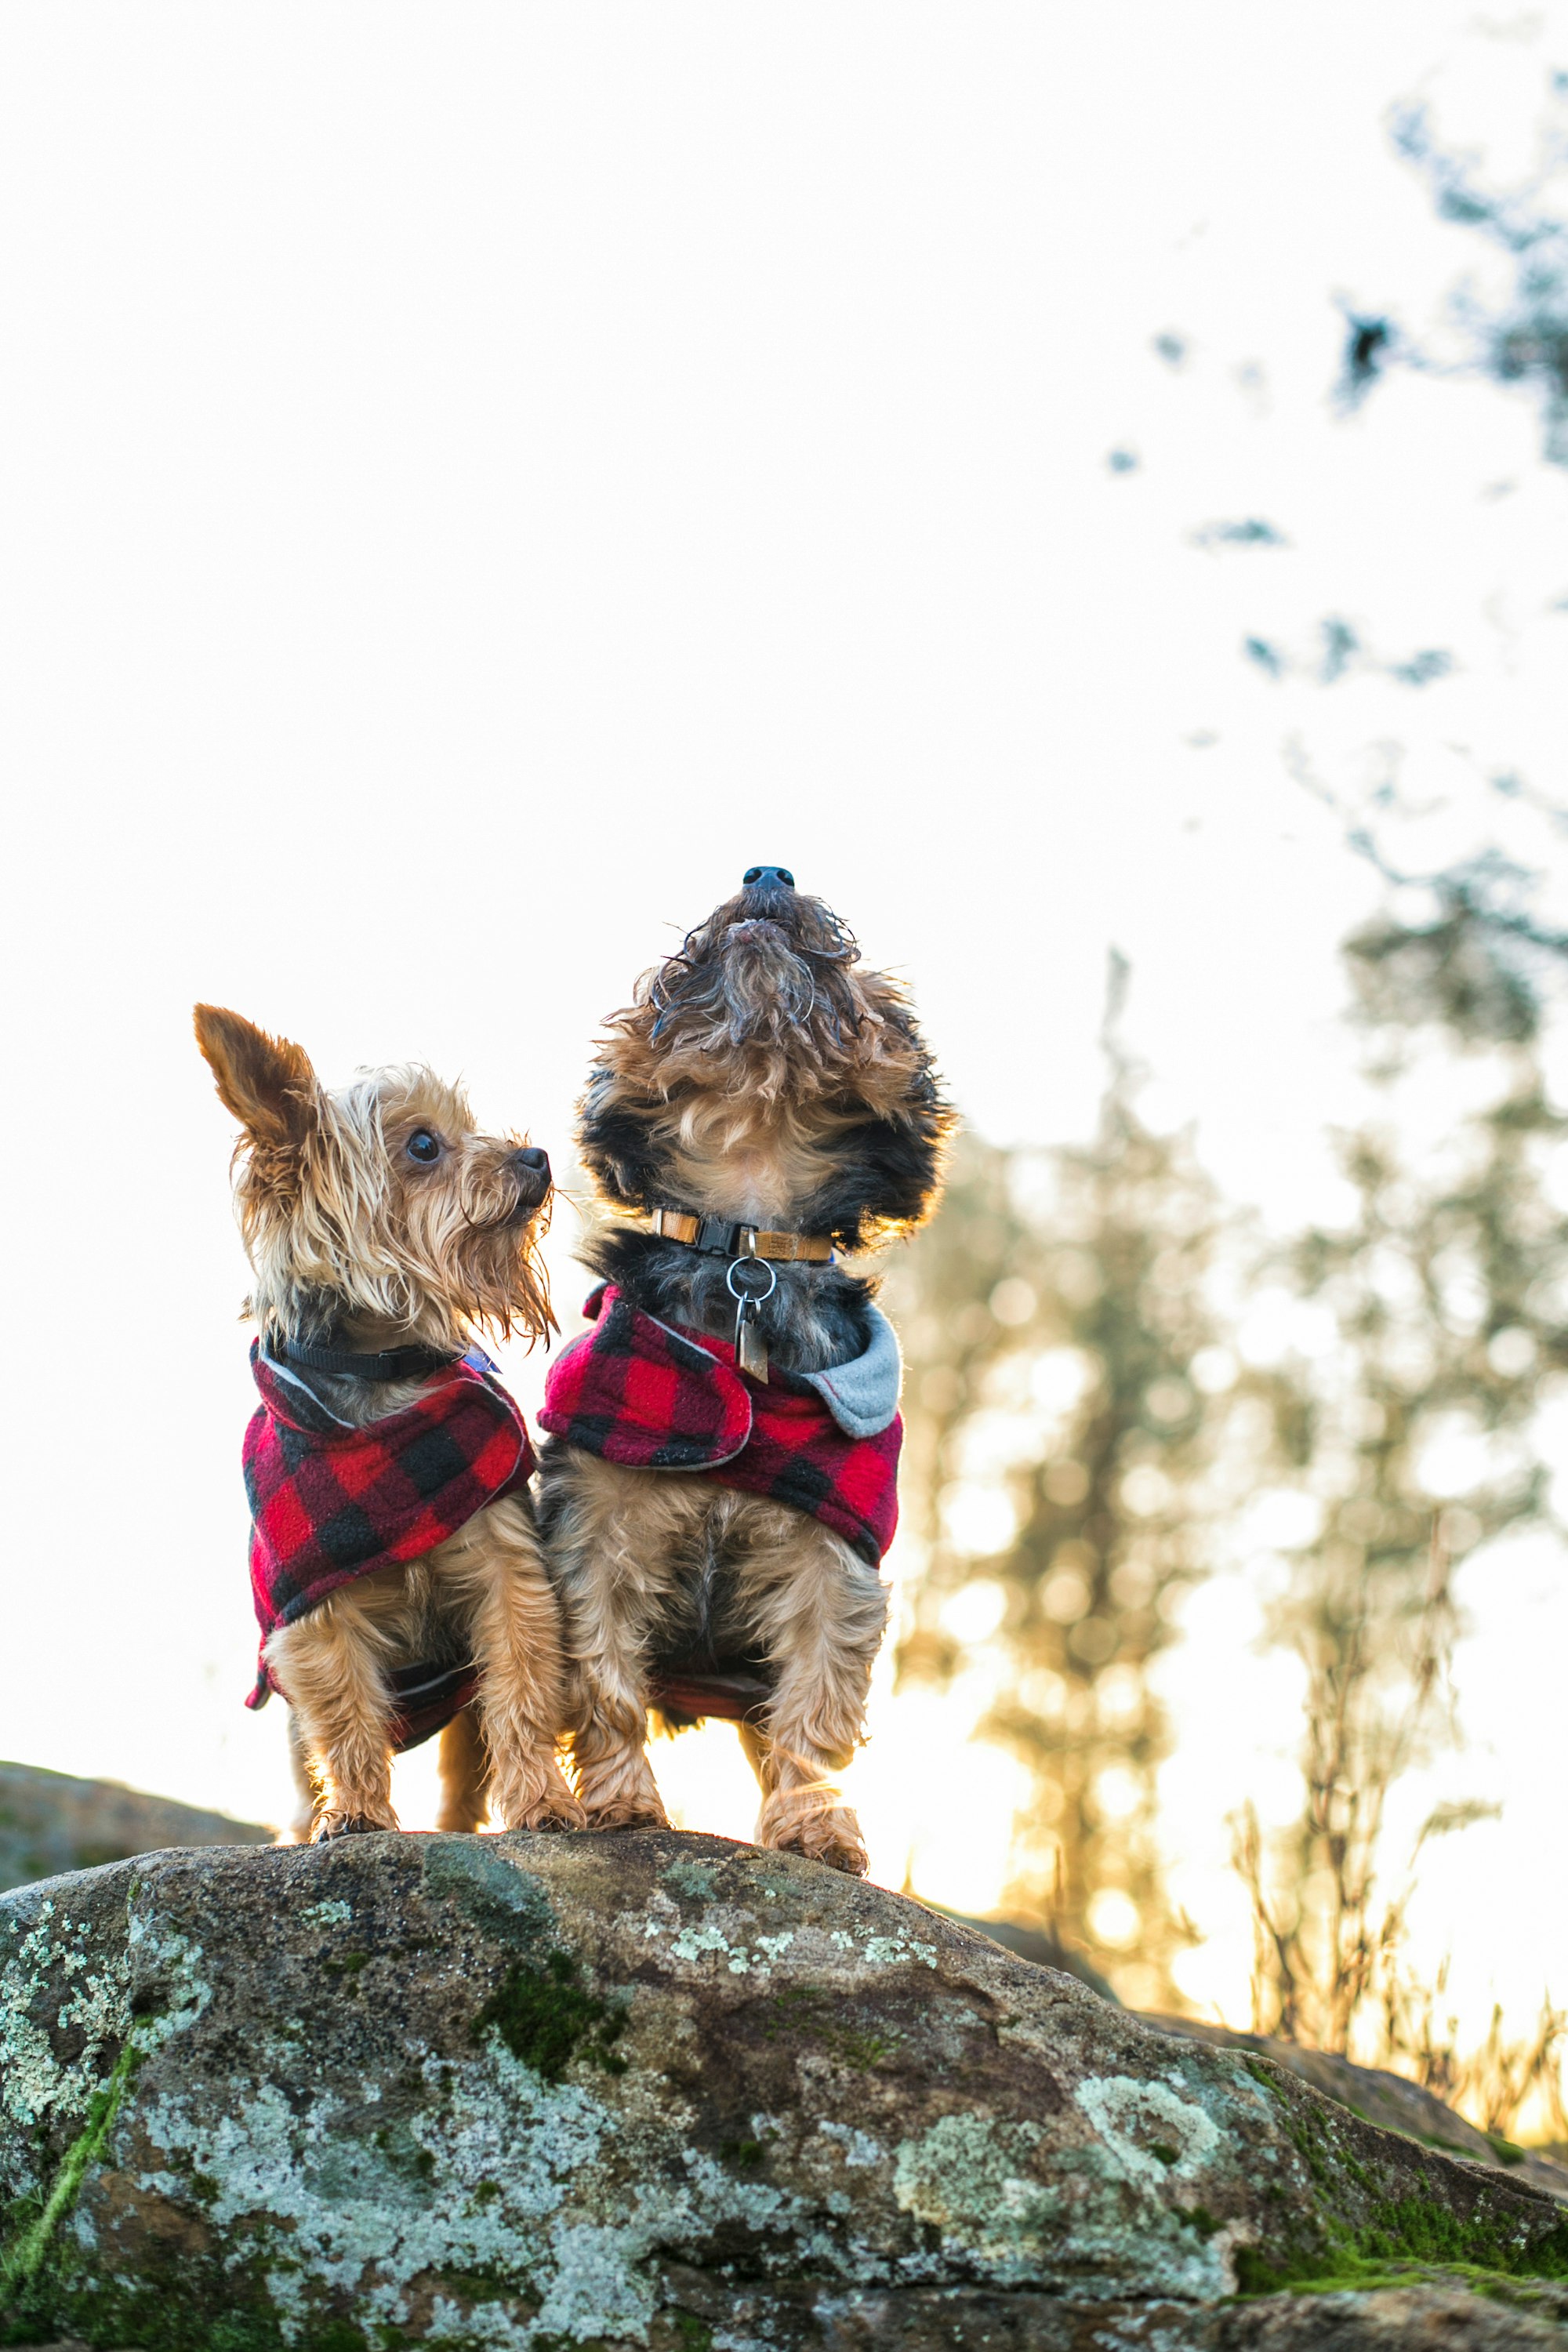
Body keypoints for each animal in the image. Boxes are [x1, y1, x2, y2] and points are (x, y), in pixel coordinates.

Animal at [194, 1002, 585, 1844]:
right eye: (423, 1145)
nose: (536, 1156)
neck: (385, 1378)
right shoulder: (311, 1611)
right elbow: (342, 1715)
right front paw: (357, 1813)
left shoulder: (505, 1564)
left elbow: (520, 1688)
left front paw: (543, 1801)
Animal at [540, 866, 949, 1872]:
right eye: (672, 978)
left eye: (851, 981)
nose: (767, 872)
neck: (746, 1246)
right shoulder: (594, 1522)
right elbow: (603, 1677)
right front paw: (621, 1804)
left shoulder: (830, 1552)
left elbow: (815, 1703)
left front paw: (812, 1824)